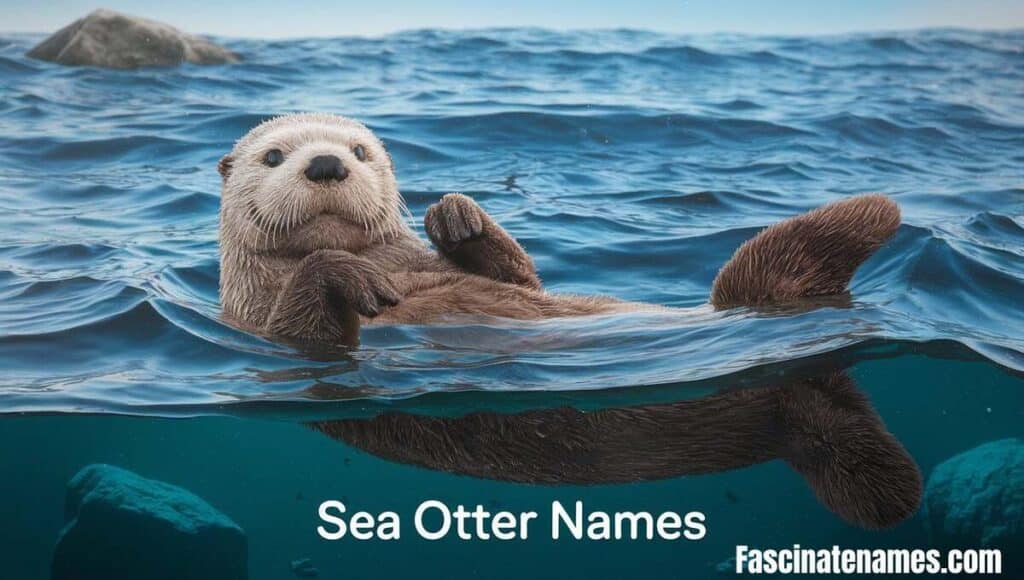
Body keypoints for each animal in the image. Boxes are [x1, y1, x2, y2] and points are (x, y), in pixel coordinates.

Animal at [218, 113, 900, 344]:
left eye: (359, 150)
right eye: (273, 156)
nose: (327, 163)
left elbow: (525, 279)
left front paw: (457, 218)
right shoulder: (256, 319)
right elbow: (305, 329)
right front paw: (344, 273)